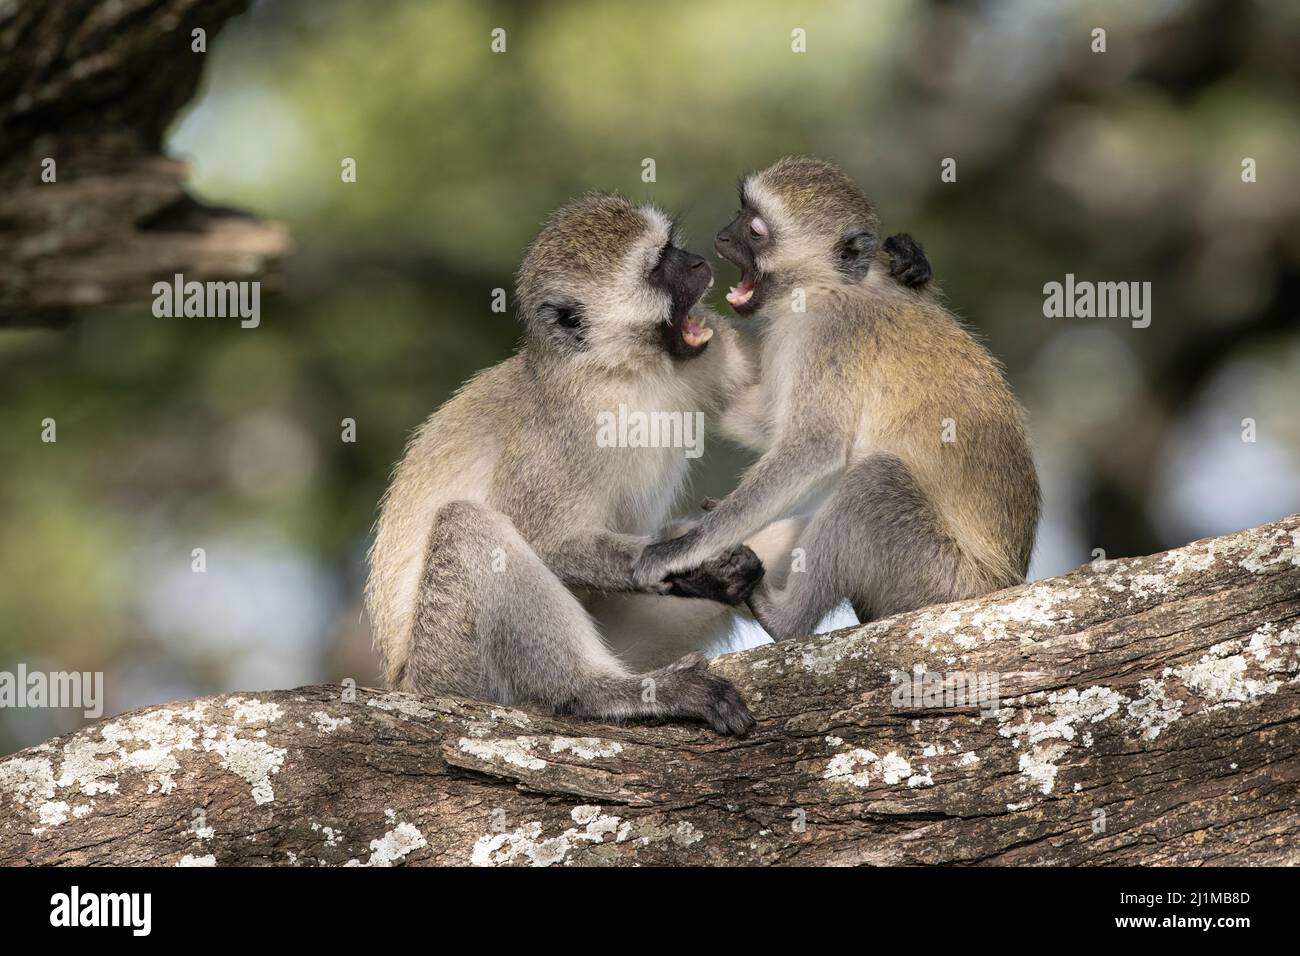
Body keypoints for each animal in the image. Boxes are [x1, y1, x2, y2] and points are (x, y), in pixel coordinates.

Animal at [361, 192, 764, 733]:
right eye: (659, 265)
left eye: (673, 248)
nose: (699, 263)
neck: (620, 374)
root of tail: (404, 685)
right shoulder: (559, 438)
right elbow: (543, 541)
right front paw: (694, 563)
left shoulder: (704, 358)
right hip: (448, 665)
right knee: (468, 528)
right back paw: (605, 693)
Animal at [634, 158, 1040, 642]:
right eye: (740, 213)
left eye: (755, 230)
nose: (722, 236)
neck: (826, 286)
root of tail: (1004, 584)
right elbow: (771, 425)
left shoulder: (830, 337)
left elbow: (813, 447)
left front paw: (680, 549)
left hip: (941, 581)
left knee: (873, 483)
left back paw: (783, 618)